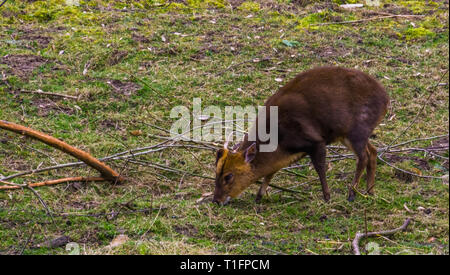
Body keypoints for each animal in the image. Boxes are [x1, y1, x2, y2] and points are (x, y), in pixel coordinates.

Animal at [213, 66, 388, 205]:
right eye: (216, 172)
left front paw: (327, 197)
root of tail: (386, 100)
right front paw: (259, 196)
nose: (216, 200)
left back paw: (352, 194)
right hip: (349, 135)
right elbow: (271, 171)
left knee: (363, 157)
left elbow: (320, 168)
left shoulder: (314, 141)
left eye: (228, 176)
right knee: (373, 151)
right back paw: (370, 191)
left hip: (357, 130)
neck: (278, 139)